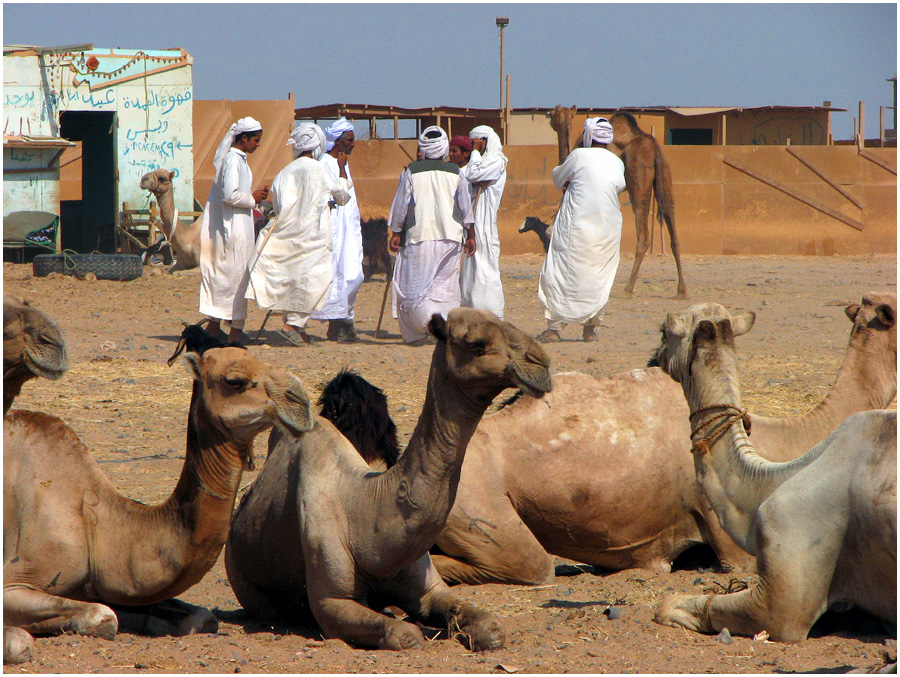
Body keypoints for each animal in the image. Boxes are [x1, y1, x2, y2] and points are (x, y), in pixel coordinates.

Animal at [2, 330, 312, 664]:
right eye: (235, 381)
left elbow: (202, 617)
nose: (301, 400)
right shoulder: (16, 581)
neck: (96, 524)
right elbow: (102, 617)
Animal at [612, 111, 688, 298]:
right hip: (666, 178)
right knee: (674, 235)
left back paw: (628, 289)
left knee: (643, 236)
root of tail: (654, 149)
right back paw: (682, 290)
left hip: (639, 186)